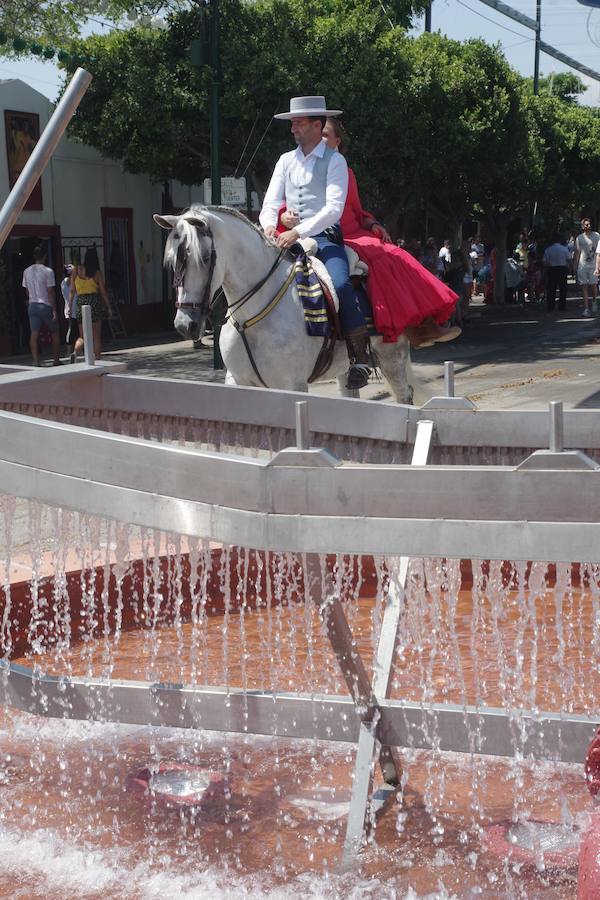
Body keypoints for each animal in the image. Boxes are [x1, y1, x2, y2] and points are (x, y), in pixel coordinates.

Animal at [155, 206, 414, 402]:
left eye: (205, 258)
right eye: (171, 261)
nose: (185, 325)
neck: (251, 318)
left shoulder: (292, 385)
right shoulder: (238, 381)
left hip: (393, 356)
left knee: (404, 395)